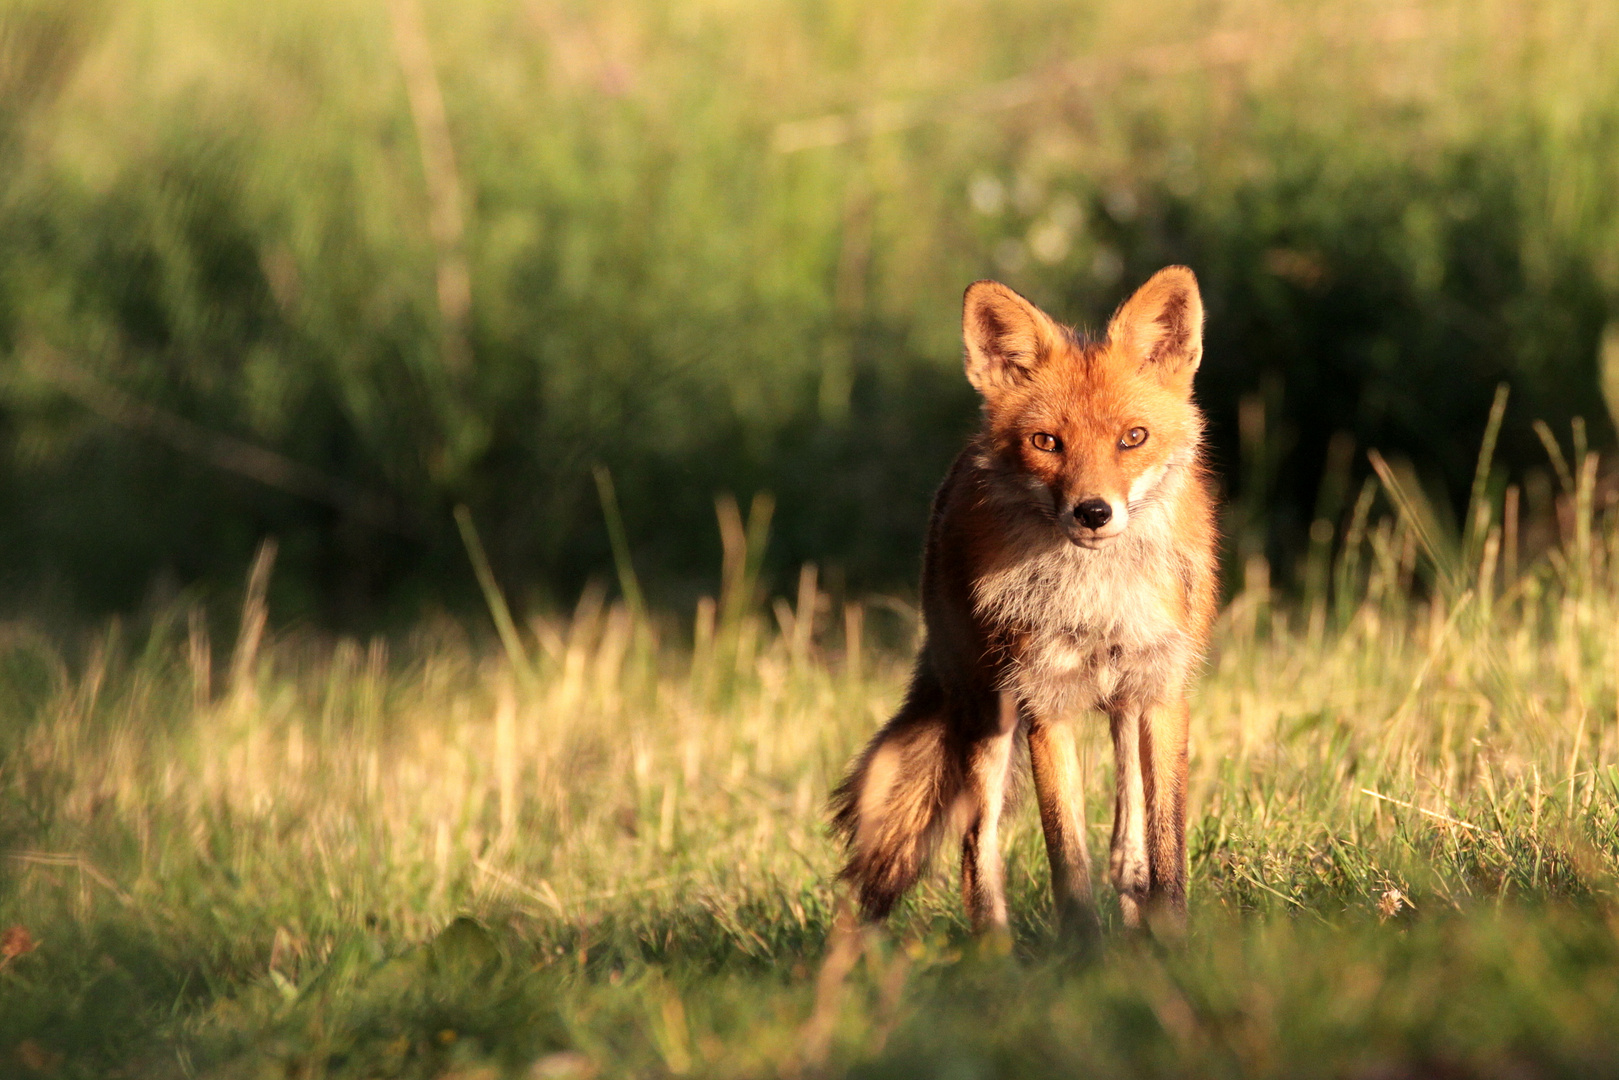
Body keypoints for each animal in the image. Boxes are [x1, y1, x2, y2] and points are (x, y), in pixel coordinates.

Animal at [828, 263, 1217, 939]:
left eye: (1133, 438)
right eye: (1046, 442)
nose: (1093, 512)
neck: (1097, 602)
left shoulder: (1163, 690)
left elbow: (1168, 846)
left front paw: (1171, 942)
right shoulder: (1044, 703)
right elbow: (1067, 862)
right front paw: (1085, 954)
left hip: (1117, 699)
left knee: (1126, 810)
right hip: (985, 717)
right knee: (974, 851)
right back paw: (994, 955)